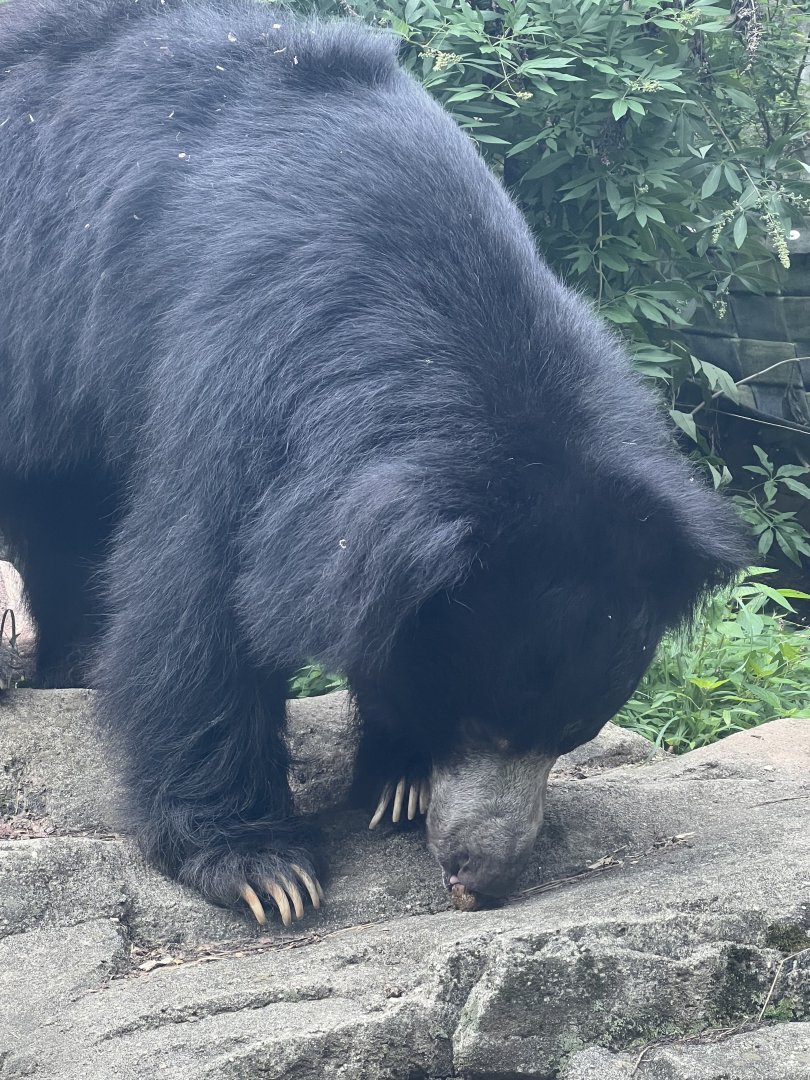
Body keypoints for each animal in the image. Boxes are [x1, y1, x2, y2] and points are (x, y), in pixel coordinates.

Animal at [0, 0, 748, 923]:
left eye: (573, 734)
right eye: (481, 721)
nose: (482, 878)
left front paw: (399, 784)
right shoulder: (228, 360)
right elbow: (197, 595)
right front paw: (265, 871)